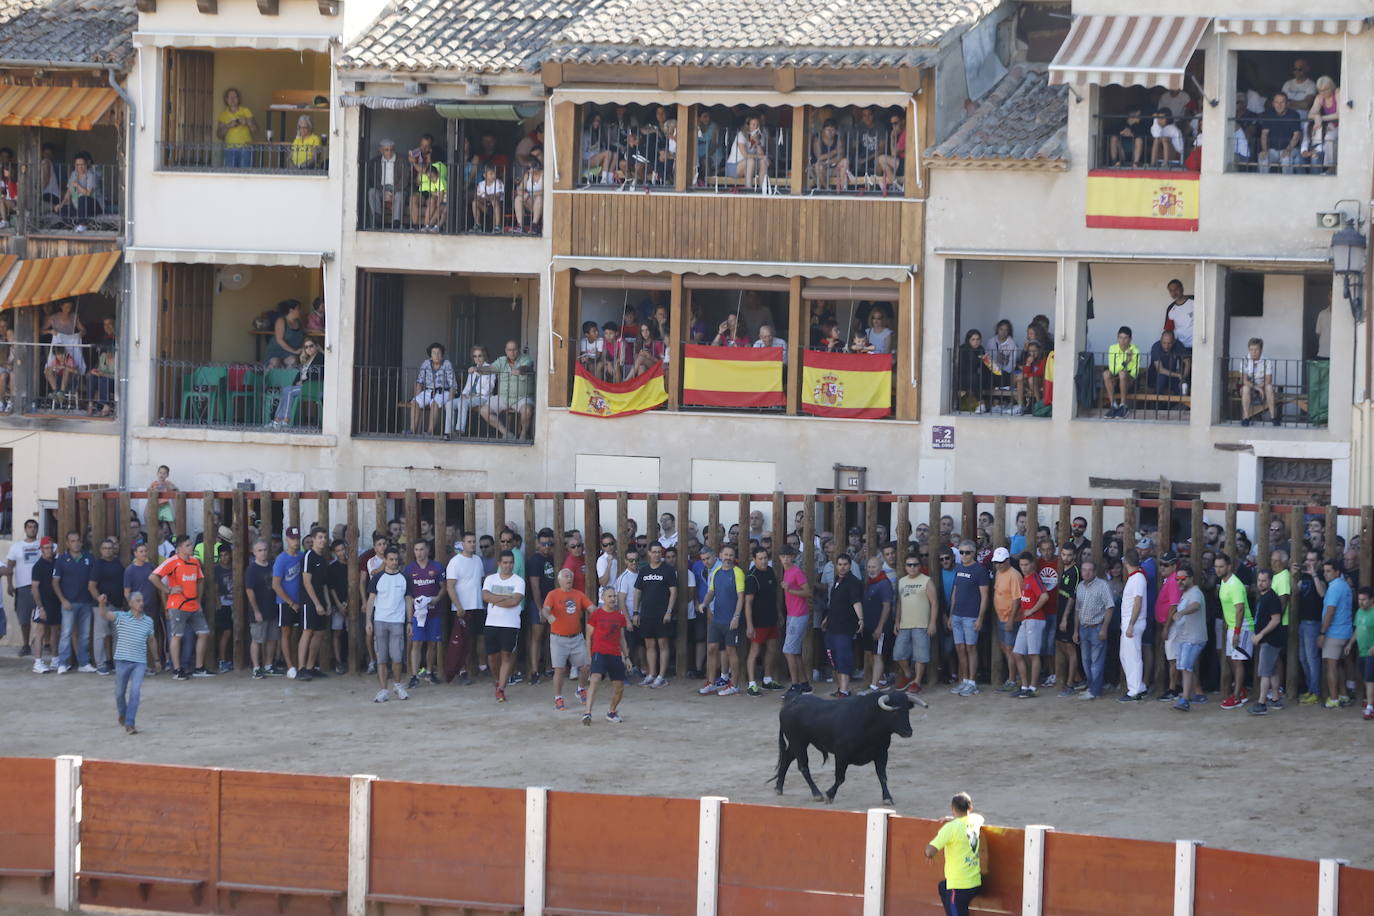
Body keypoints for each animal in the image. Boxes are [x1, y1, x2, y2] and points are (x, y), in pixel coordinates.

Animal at [774, 692, 923, 807]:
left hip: (797, 744)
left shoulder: (881, 754)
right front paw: (829, 795)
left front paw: (887, 798)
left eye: (907, 710)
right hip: (798, 743)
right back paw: (817, 794)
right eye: (894, 712)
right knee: (803, 766)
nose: (908, 732)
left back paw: (778, 788)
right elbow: (840, 778)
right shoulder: (841, 755)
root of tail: (789, 704)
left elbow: (882, 776)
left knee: (787, 759)